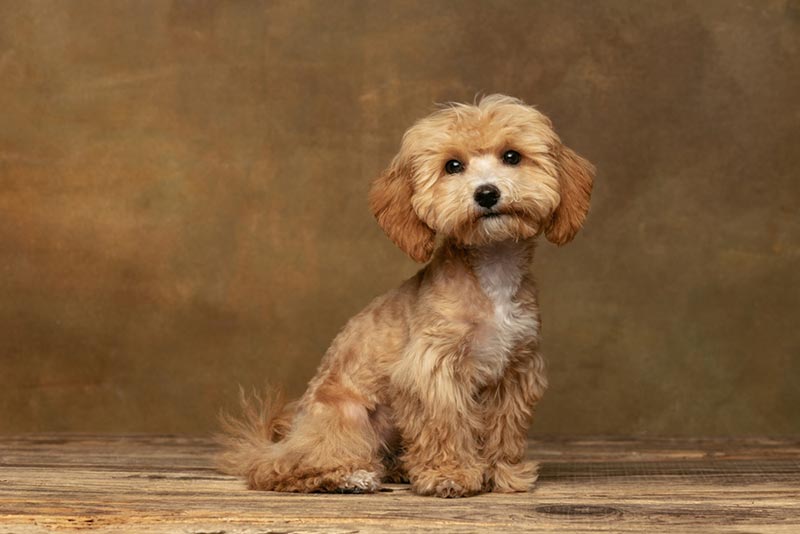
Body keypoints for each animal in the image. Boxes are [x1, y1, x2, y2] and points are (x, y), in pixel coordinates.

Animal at [219, 94, 592, 500]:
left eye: (512, 156)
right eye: (453, 166)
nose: (487, 193)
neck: (492, 270)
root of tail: (284, 437)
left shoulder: (514, 371)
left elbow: (504, 429)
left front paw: (504, 474)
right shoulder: (432, 372)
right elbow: (445, 427)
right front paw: (449, 476)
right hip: (347, 419)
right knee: (283, 468)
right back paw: (349, 477)